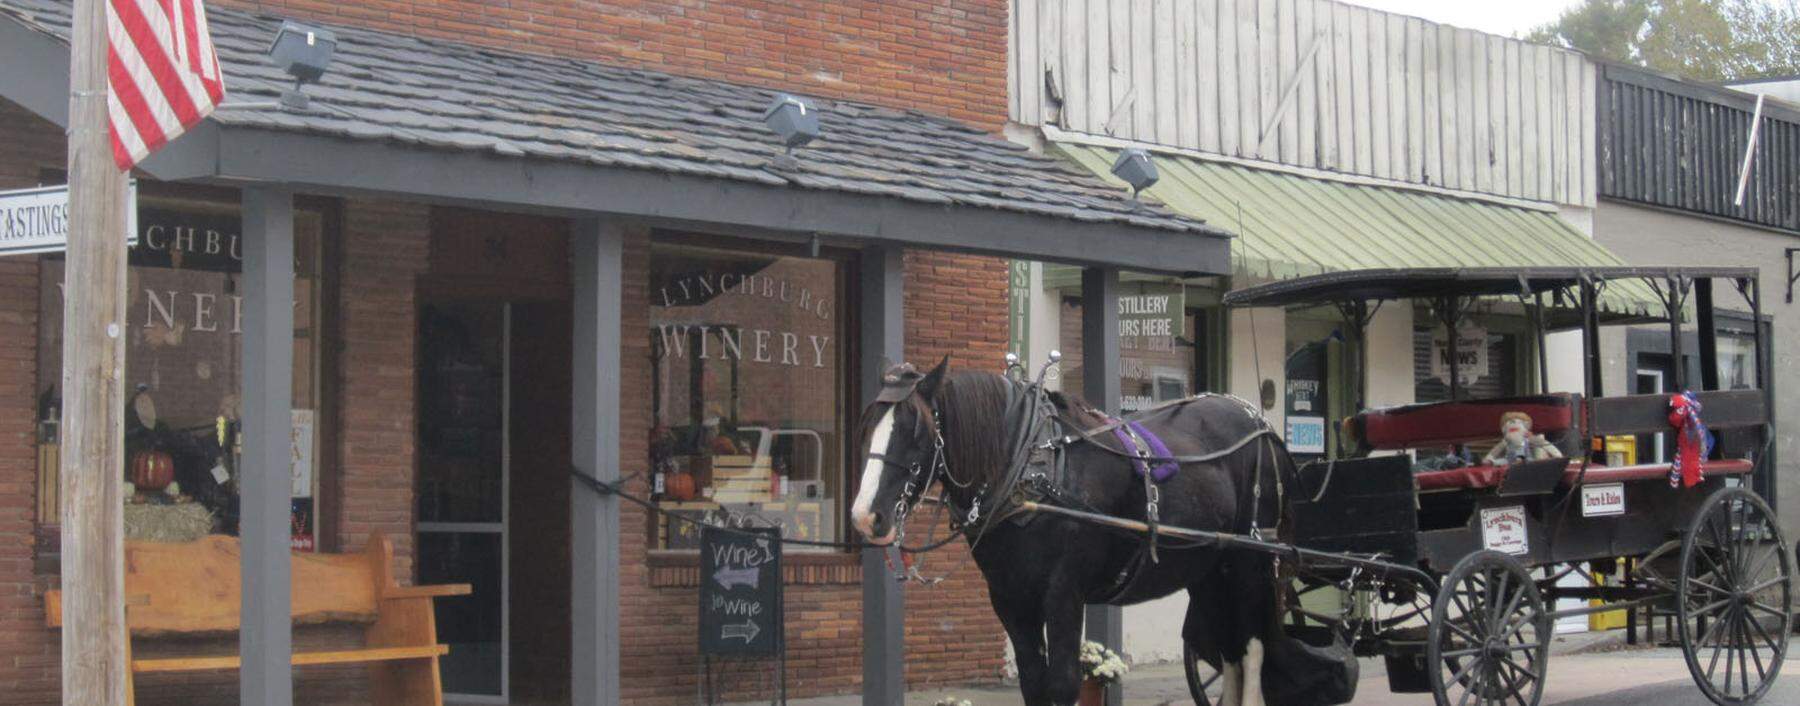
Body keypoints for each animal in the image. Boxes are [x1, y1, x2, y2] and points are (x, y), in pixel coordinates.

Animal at [849, 362, 1303, 706]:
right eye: (868, 427)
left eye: (915, 431)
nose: (865, 516)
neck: (1030, 469)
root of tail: (1260, 423)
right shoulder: (1010, 599)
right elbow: (1034, 682)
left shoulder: (1063, 594)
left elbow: (1063, 682)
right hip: (1209, 570)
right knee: (1230, 650)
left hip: (1250, 561)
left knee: (1253, 649)